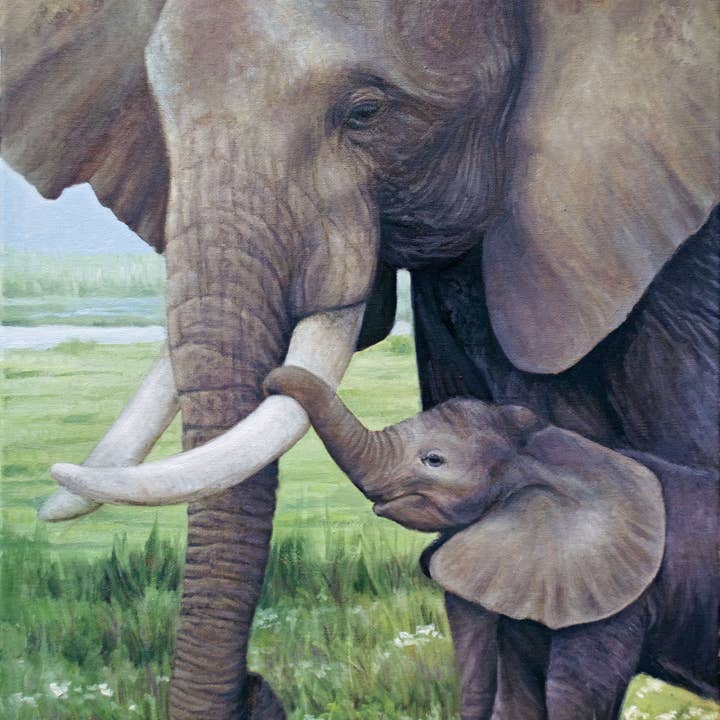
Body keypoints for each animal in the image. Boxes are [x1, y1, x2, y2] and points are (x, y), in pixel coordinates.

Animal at [263, 364, 719, 719]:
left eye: (434, 460)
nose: (270, 382)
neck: (540, 453)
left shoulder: (612, 598)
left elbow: (573, 695)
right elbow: (520, 694)